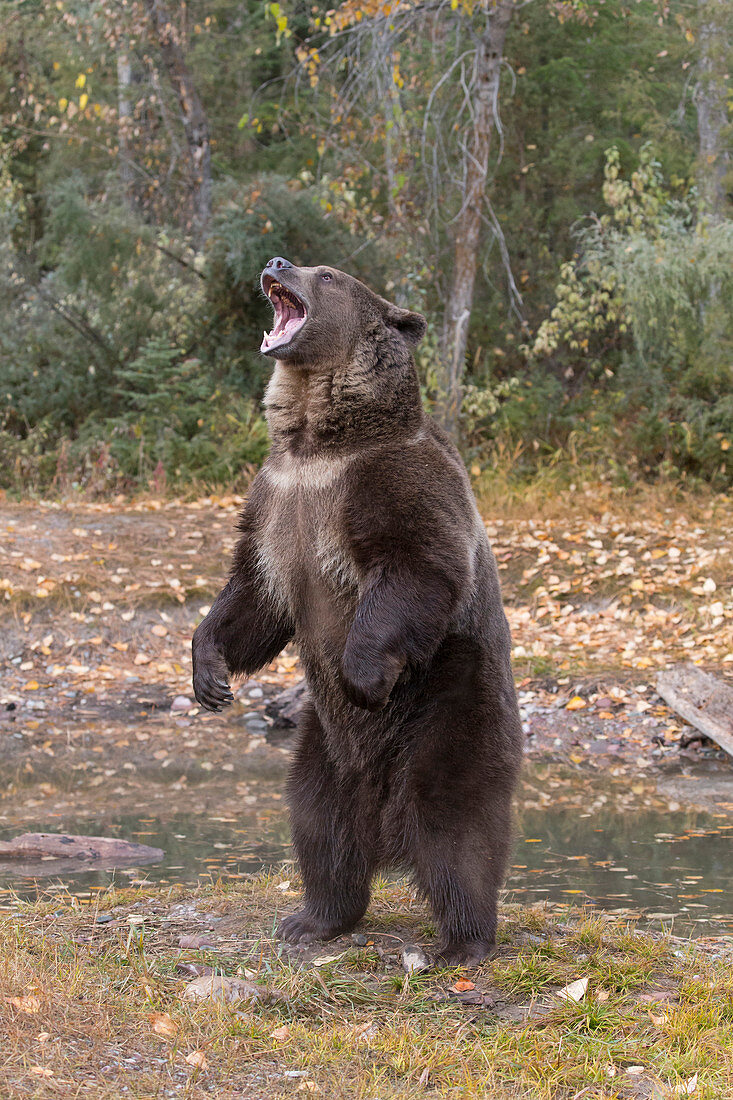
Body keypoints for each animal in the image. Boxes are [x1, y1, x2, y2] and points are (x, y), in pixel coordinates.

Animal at [191, 257, 521, 963]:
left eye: (327, 274)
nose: (276, 261)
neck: (318, 443)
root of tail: (381, 809)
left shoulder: (393, 482)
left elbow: (416, 568)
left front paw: (362, 674)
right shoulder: (276, 502)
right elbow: (255, 595)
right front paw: (209, 674)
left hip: (449, 695)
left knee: (452, 818)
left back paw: (465, 941)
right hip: (326, 744)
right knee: (319, 819)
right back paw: (314, 917)